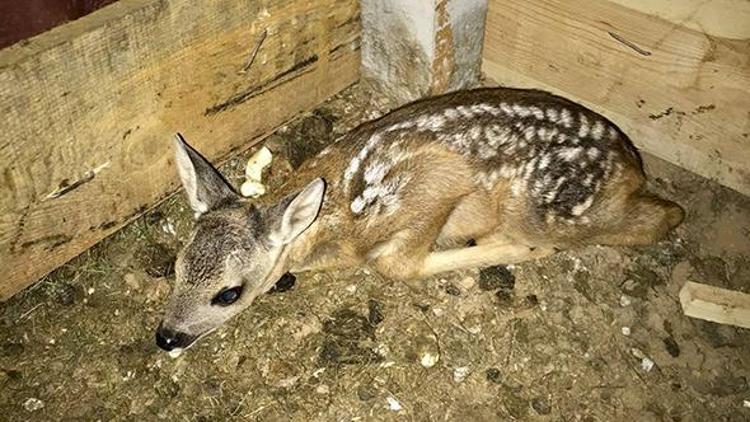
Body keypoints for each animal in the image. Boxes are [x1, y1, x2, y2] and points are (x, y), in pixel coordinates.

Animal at [156, 87, 684, 352]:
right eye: (175, 268)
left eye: (229, 293)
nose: (166, 337)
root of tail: (632, 164)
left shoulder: (436, 184)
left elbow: (395, 265)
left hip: (543, 210)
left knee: (663, 216)